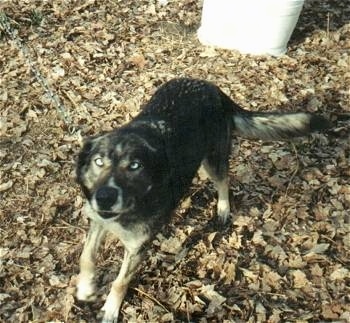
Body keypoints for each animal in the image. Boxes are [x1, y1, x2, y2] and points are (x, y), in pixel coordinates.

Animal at [75, 78, 330, 322]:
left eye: (134, 166)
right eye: (99, 161)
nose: (105, 198)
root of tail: (214, 89)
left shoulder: (137, 248)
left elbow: (120, 282)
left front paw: (110, 310)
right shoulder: (98, 221)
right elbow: (86, 256)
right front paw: (85, 287)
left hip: (213, 159)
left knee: (224, 181)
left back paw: (223, 209)